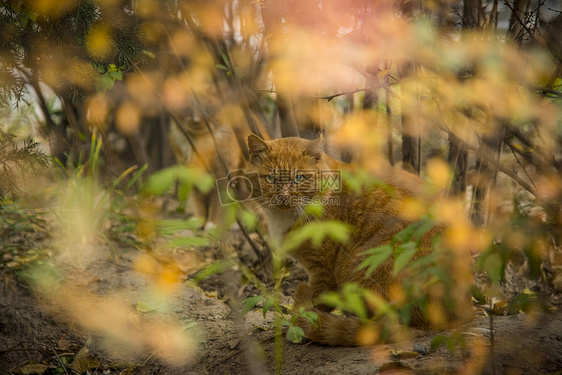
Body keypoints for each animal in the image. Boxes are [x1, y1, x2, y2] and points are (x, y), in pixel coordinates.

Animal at [245, 134, 472, 346]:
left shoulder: (322, 269)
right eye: (270, 179)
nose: (283, 196)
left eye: (299, 178)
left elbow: (316, 303)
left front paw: (301, 324)